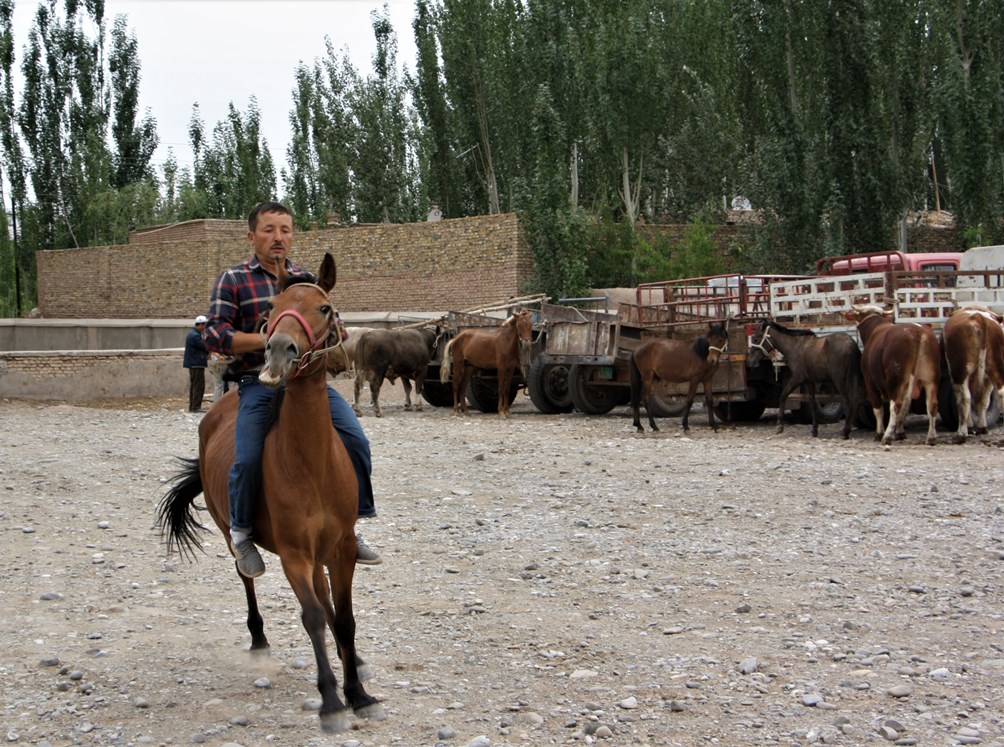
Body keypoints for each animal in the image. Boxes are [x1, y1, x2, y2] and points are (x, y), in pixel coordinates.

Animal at [156, 254, 383, 730]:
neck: (311, 464)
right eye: (271, 308)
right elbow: (313, 617)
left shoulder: (339, 551)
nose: (279, 351)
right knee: (246, 578)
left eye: (324, 308)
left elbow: (345, 618)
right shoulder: (294, 554)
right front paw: (331, 700)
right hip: (231, 532)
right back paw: (258, 637)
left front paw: (358, 690)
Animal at [847, 301, 939, 443]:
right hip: (929, 379)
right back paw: (931, 437)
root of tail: (917, 331)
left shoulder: (869, 380)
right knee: (931, 405)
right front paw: (900, 432)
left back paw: (887, 435)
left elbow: (878, 408)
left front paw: (879, 433)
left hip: (895, 379)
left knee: (895, 405)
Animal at [939, 305, 1003, 443]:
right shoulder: (987, 379)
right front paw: (981, 427)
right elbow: (984, 400)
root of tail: (978, 317)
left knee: (965, 398)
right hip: (995, 367)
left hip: (959, 371)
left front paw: (969, 426)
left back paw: (961, 433)